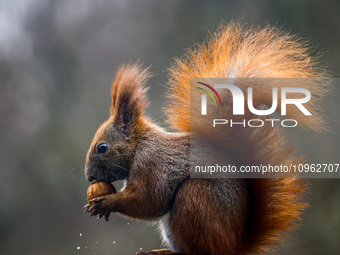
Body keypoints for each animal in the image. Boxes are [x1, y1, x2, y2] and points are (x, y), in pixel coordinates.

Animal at [83, 22, 330, 254]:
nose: (89, 177)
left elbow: (150, 201)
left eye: (102, 147)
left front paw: (107, 202)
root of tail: (235, 245)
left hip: (195, 199)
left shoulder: (153, 165)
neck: (139, 146)